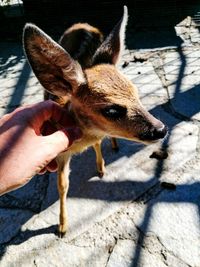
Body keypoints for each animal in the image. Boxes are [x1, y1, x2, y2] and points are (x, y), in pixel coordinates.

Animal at [23, 5, 167, 237]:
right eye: (112, 110)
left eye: (137, 94)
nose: (161, 129)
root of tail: (83, 24)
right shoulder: (60, 151)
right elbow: (63, 185)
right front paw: (62, 227)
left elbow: (98, 143)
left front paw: (101, 169)